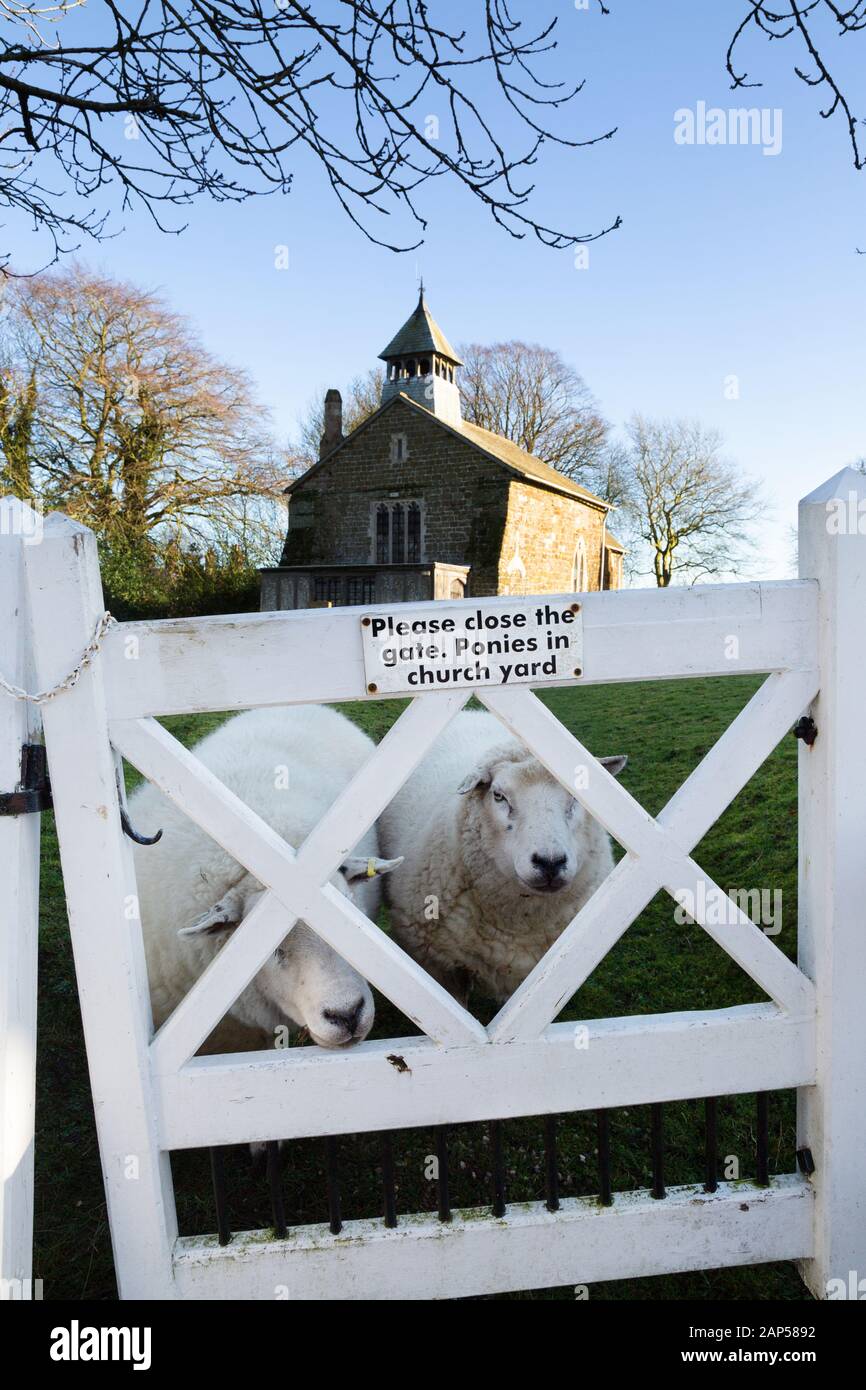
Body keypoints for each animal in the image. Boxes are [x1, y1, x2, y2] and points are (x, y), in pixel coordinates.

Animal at [378, 711, 622, 1006]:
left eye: (577, 795)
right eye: (498, 795)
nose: (550, 862)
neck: (519, 923)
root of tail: (471, 712)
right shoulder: (441, 966)